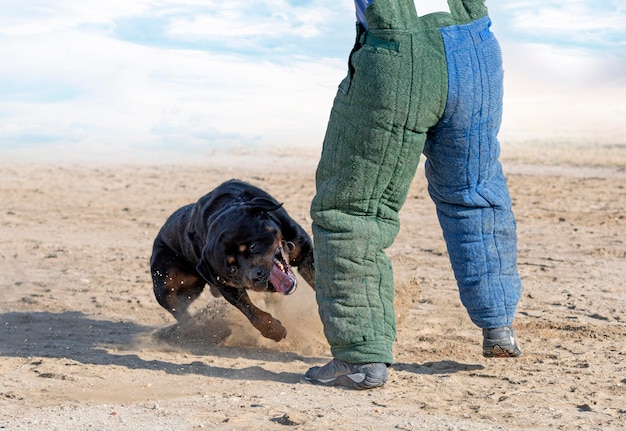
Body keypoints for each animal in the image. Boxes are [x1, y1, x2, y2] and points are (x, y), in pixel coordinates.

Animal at [151, 178, 314, 340]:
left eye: (253, 246)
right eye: (232, 270)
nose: (256, 276)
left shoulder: (306, 252)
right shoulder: (226, 286)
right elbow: (251, 312)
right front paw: (274, 330)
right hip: (165, 281)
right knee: (177, 308)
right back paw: (194, 328)